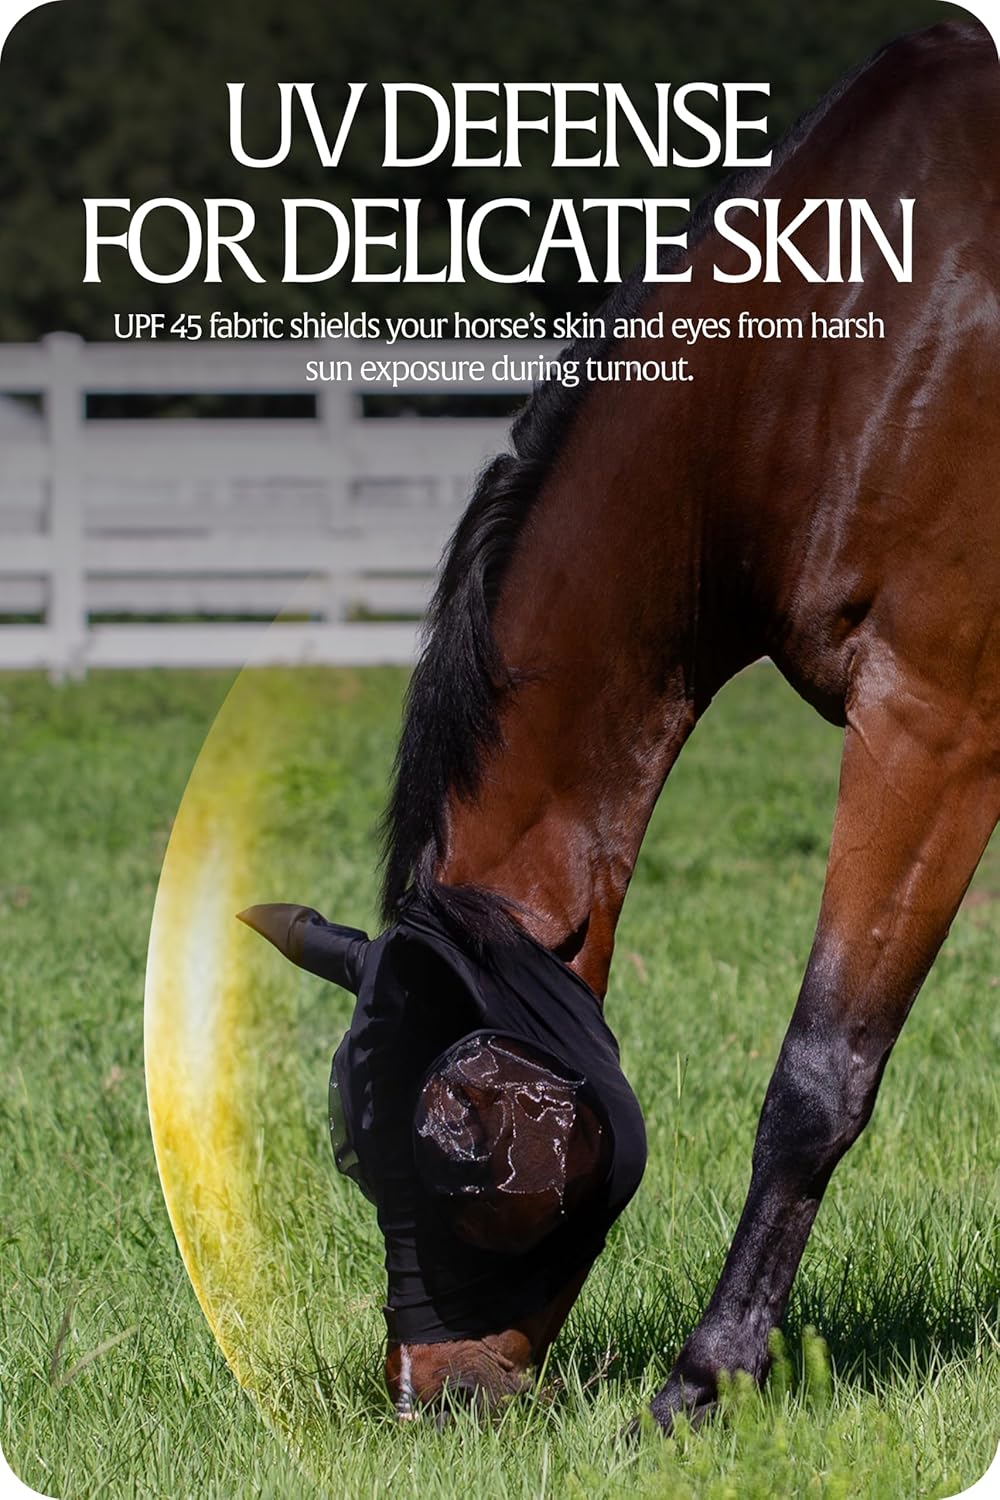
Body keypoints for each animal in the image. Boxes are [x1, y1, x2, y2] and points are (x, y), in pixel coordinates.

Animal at [248, 19, 999, 1429]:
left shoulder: (934, 726)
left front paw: (706, 1378)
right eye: (355, 1157)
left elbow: (818, 1074)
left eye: (463, 1151)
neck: (836, 358)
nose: (434, 1397)